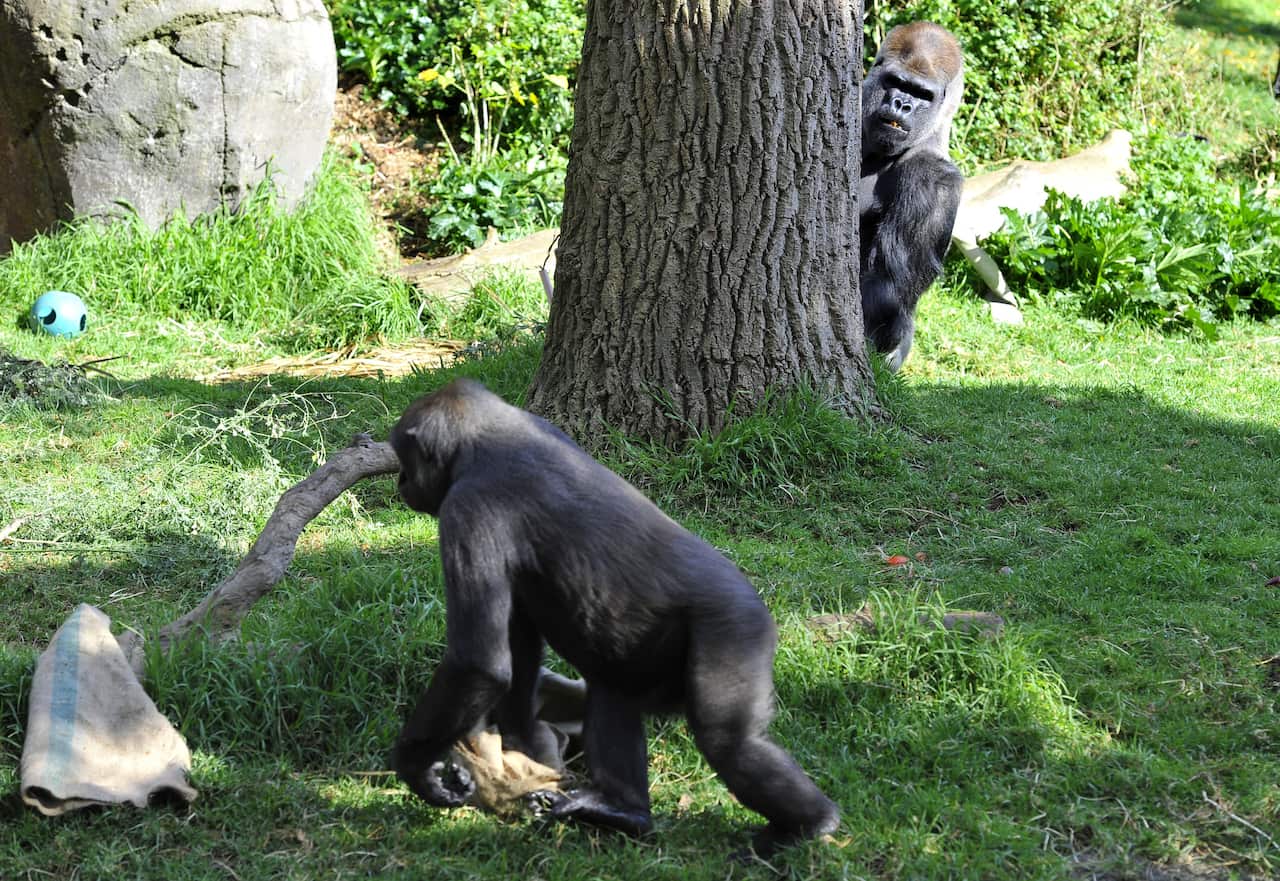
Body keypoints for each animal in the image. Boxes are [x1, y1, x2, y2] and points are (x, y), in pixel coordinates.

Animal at [388, 378, 840, 856]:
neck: (486, 436)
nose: (401, 480)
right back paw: (625, 812)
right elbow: (518, 650)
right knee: (613, 691)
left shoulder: (468, 508)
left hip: (735, 628)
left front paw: (418, 767)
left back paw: (811, 824)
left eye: (406, 461)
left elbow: (478, 663)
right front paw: (526, 744)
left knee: (730, 743)